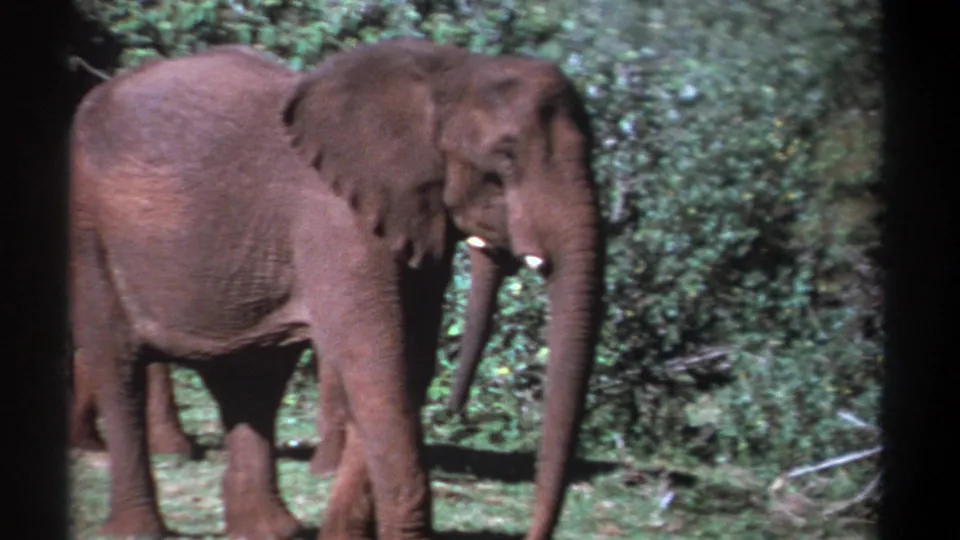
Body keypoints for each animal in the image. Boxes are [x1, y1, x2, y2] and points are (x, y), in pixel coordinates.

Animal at [69, 37, 603, 540]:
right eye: (505, 159)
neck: (447, 73)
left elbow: (407, 364)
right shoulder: (336, 221)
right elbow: (375, 360)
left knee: (249, 381)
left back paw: (269, 531)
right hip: (90, 232)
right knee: (118, 364)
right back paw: (138, 528)